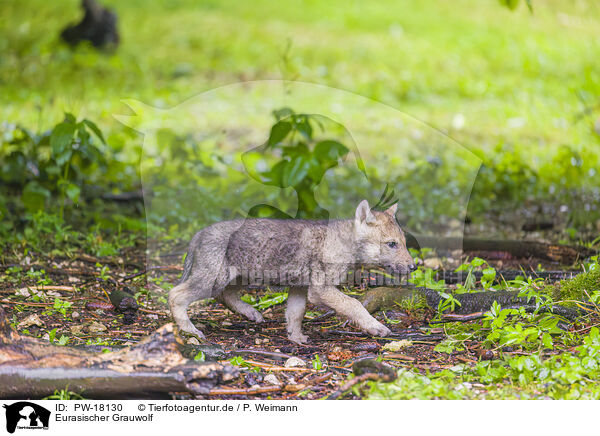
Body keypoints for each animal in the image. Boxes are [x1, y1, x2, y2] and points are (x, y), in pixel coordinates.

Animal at [166, 199, 414, 342]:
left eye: (403, 243)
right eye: (392, 244)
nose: (414, 266)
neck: (343, 242)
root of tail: (199, 233)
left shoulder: (299, 289)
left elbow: (295, 314)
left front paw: (296, 339)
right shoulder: (320, 290)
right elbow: (354, 304)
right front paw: (376, 327)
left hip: (239, 278)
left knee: (224, 296)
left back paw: (251, 313)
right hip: (213, 281)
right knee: (175, 295)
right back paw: (190, 332)